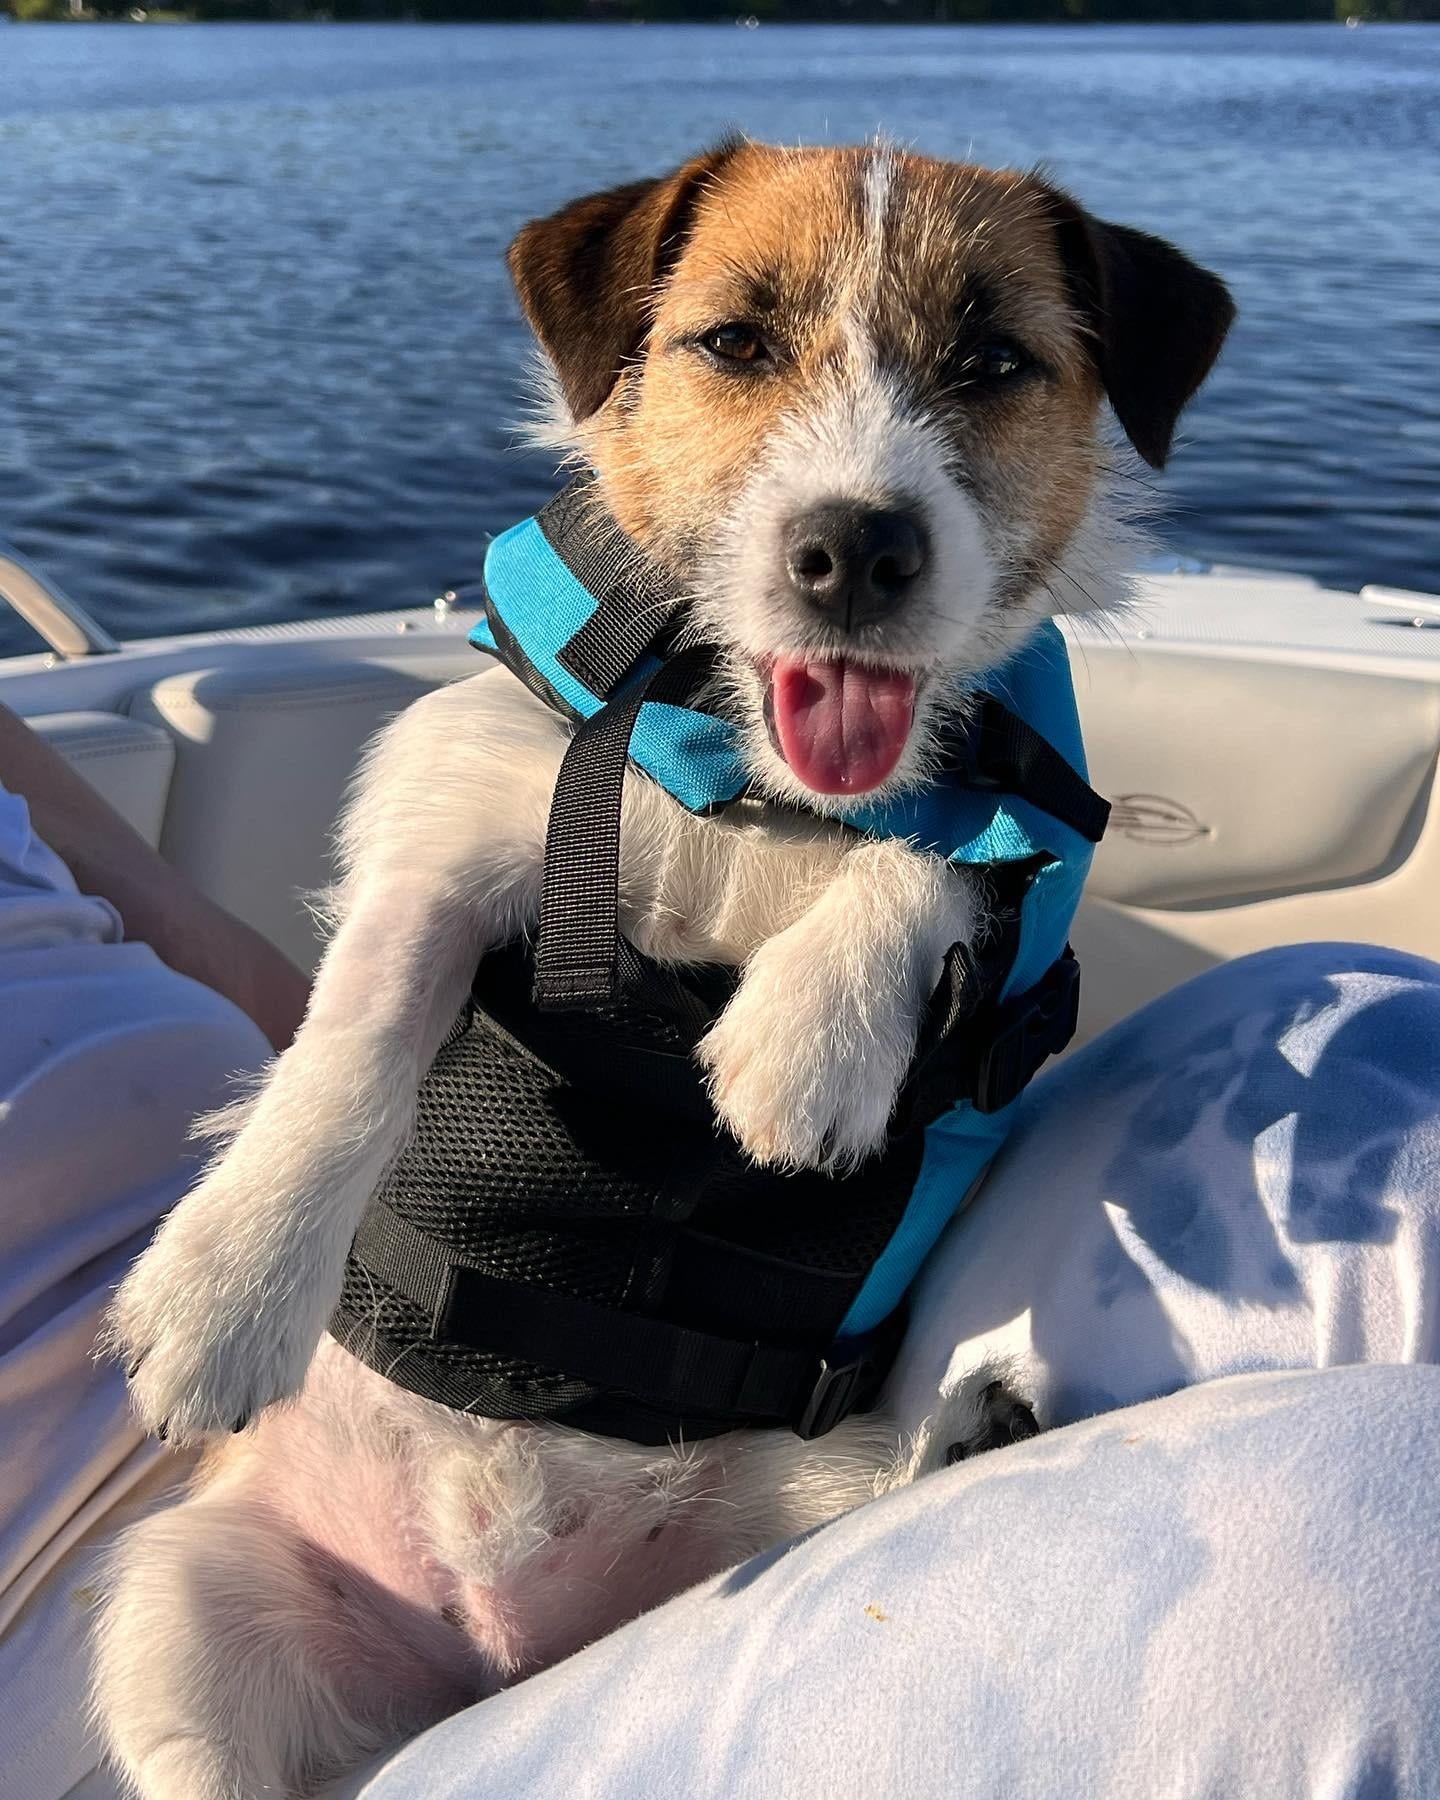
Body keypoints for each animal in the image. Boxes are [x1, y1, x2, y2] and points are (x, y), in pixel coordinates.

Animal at [95, 140, 1231, 1800]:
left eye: (994, 362)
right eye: (736, 342)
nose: (855, 550)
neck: (740, 783)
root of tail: (496, 1658)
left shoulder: (1010, 840)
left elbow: (949, 839)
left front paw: (810, 1040)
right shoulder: (447, 824)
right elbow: (355, 1044)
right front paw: (227, 1287)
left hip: (807, 1496)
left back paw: (972, 1436)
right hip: (183, 1614)